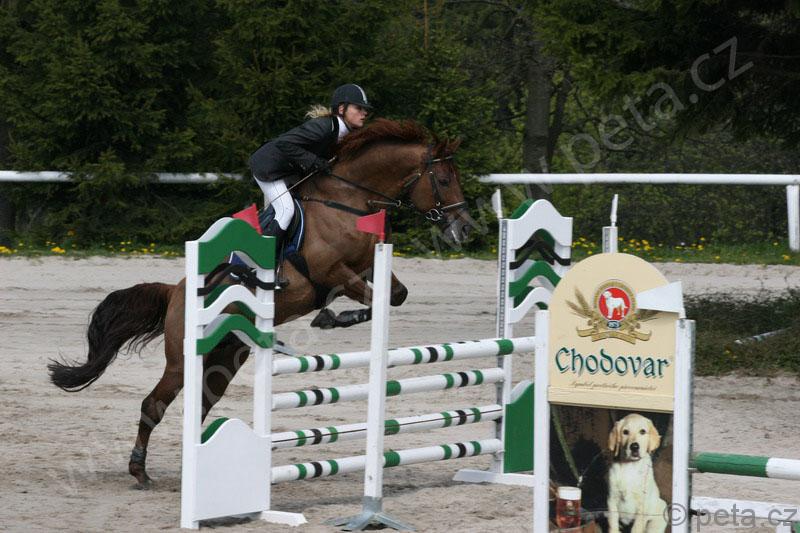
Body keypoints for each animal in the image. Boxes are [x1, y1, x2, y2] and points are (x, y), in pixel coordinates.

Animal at [47, 118, 472, 488]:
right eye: (444, 179)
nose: (464, 228)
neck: (349, 201)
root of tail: (174, 291)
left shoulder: (367, 266)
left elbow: (395, 295)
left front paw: (334, 318)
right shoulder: (332, 272)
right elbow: (364, 295)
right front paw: (331, 318)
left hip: (225, 356)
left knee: (201, 406)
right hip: (183, 358)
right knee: (154, 405)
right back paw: (140, 472)